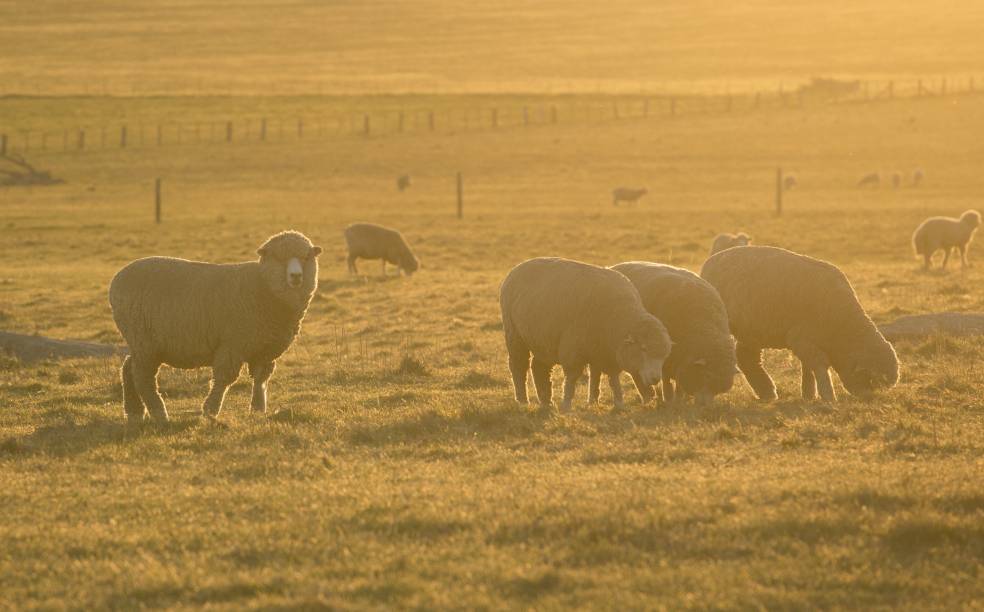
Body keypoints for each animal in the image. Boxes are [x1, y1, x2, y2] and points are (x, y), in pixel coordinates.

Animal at [110, 227, 322, 424]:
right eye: (278, 258)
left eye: (306, 257)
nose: (296, 276)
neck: (263, 286)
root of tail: (117, 279)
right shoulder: (233, 344)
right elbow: (224, 379)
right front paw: (210, 411)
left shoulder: (264, 349)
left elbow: (261, 379)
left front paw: (257, 409)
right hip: (143, 340)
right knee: (142, 377)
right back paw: (160, 414)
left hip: (142, 343)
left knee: (128, 368)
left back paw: (135, 413)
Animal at [500, 256, 676, 408]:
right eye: (644, 349)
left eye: (665, 356)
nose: (655, 379)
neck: (616, 317)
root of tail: (520, 266)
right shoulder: (573, 349)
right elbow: (572, 378)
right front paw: (566, 404)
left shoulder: (608, 352)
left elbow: (613, 378)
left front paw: (619, 403)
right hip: (514, 333)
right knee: (518, 366)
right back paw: (523, 400)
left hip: (542, 338)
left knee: (539, 367)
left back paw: (546, 401)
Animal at [600, 260, 736, 404]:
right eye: (707, 375)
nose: (704, 405)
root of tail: (614, 266)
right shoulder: (668, 359)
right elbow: (666, 380)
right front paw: (669, 398)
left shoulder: (681, 360)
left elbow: (679, 384)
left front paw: (679, 398)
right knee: (635, 370)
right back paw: (647, 395)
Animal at [700, 244, 900, 402]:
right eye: (871, 381)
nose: (866, 399)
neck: (842, 325)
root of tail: (712, 260)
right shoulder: (803, 339)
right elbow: (818, 365)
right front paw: (828, 396)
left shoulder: (807, 341)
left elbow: (808, 367)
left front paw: (809, 394)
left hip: (751, 328)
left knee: (746, 356)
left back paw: (767, 392)